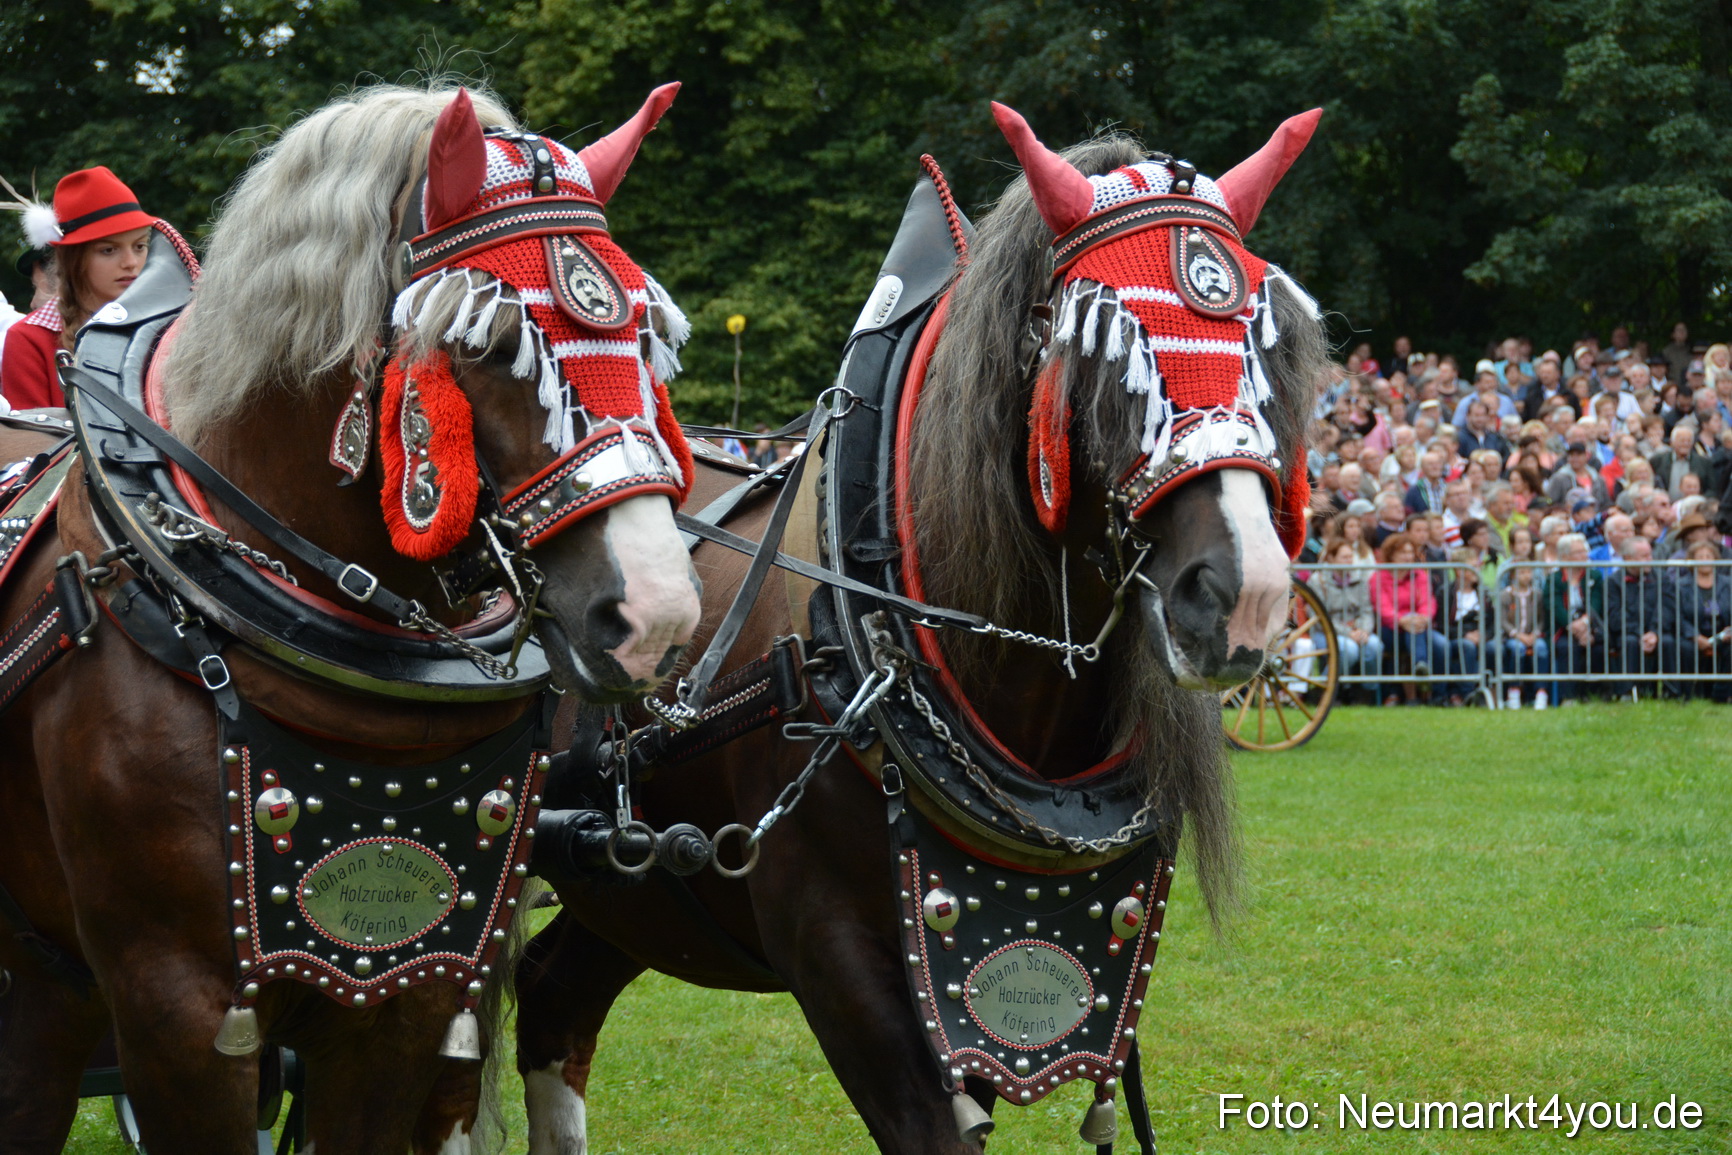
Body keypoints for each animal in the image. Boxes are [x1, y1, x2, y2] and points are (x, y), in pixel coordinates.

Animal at [512, 103, 1326, 1152]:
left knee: (550, 997)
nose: (1249, 596)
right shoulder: (840, 955)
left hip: (633, 890)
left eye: (1273, 353)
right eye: (1109, 352)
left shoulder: (1055, 948)